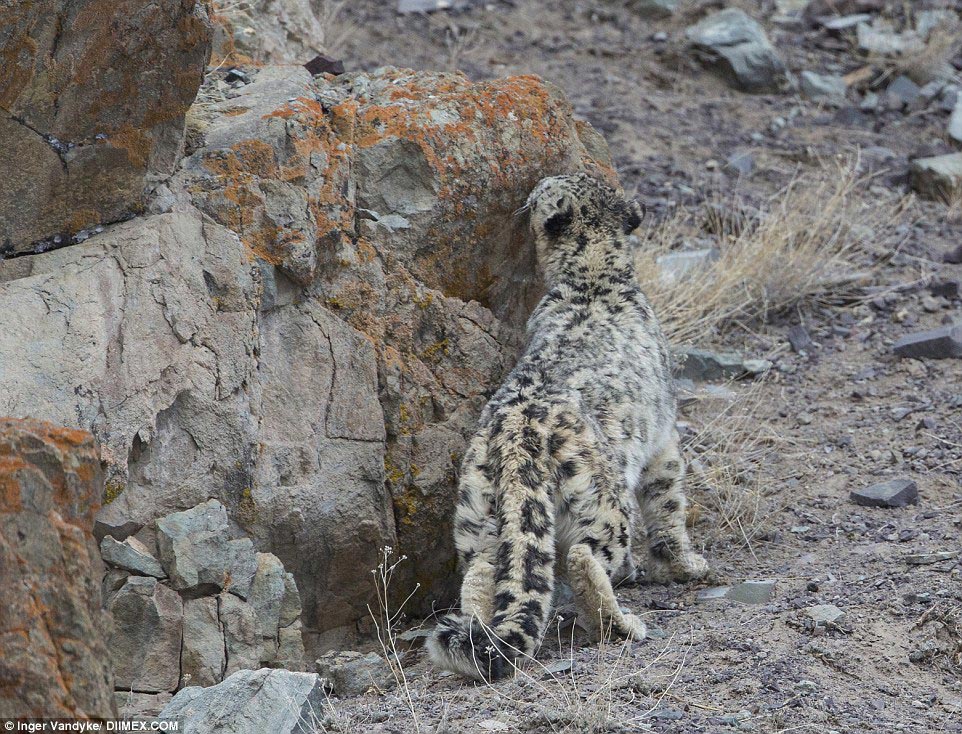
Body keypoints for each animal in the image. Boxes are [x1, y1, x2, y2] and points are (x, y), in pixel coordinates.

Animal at [428, 172, 704, 684]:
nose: (530, 193)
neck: (593, 272)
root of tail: (516, 437)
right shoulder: (664, 439)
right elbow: (669, 502)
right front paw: (684, 563)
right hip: (600, 502)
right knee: (583, 556)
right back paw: (623, 623)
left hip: (476, 511)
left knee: (483, 570)